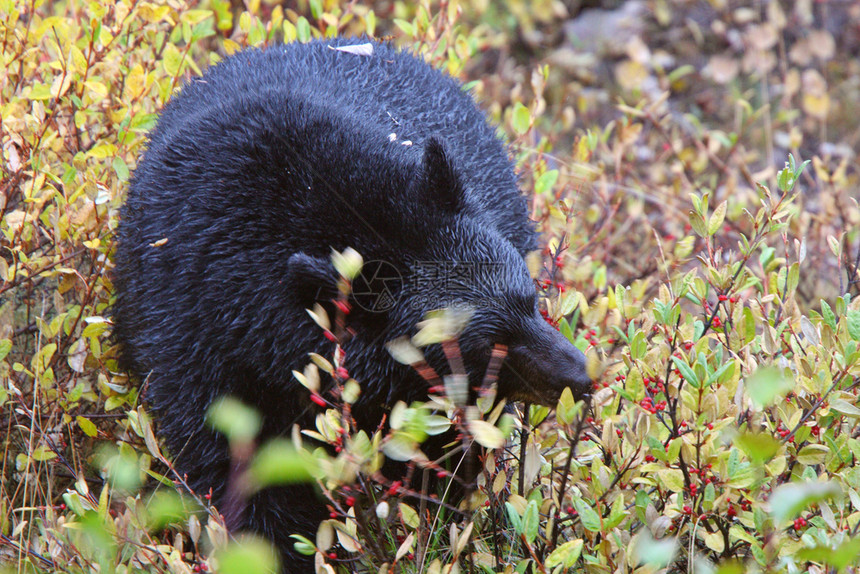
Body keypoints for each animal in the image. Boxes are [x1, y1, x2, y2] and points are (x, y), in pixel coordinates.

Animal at [114, 38, 596, 572]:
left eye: (530, 300)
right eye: (489, 344)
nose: (582, 376)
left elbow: (448, 462)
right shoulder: (193, 337)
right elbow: (239, 473)